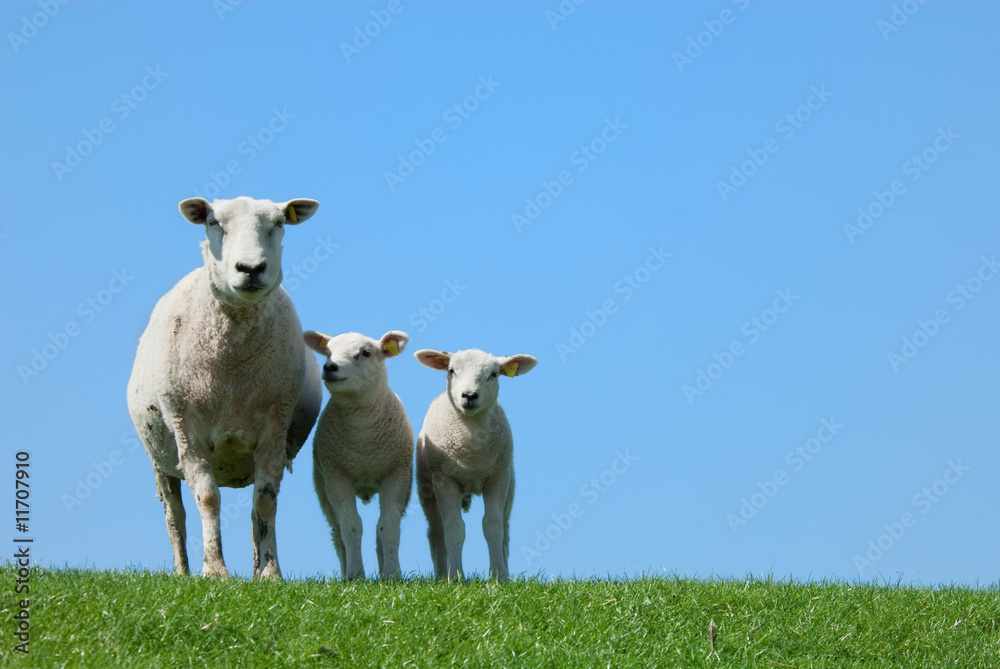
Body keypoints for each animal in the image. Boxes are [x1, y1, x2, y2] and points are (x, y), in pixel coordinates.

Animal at [126, 196, 322, 580]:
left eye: (279, 223)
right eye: (214, 223)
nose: (251, 268)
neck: (233, 367)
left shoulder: (275, 427)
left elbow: (265, 500)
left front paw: (270, 572)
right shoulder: (187, 431)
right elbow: (207, 497)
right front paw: (214, 570)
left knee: (253, 515)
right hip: (159, 457)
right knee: (175, 516)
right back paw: (182, 571)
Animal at [304, 330, 414, 581]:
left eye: (366, 353)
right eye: (327, 351)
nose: (330, 367)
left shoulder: (396, 475)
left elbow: (388, 527)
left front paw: (393, 575)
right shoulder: (336, 475)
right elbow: (351, 526)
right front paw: (355, 575)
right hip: (322, 487)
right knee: (337, 532)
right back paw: (346, 573)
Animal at [413, 348, 538, 581]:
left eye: (493, 375)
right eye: (451, 371)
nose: (469, 396)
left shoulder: (498, 478)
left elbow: (493, 527)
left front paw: (499, 576)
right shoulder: (445, 480)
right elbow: (454, 529)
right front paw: (456, 577)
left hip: (510, 485)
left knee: (505, 530)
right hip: (427, 488)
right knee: (436, 531)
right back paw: (441, 575)